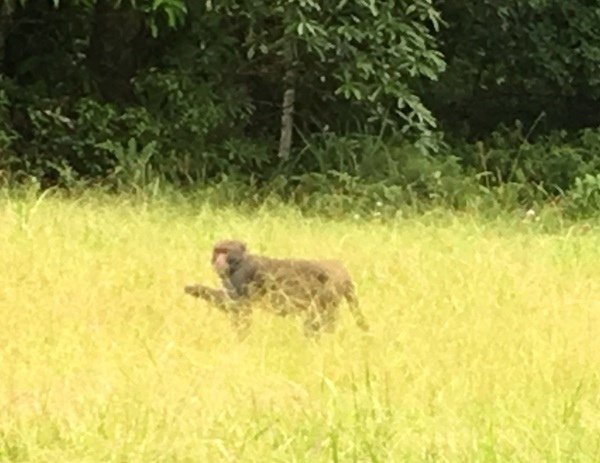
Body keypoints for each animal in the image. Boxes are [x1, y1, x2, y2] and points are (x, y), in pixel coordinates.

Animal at [184, 241, 370, 338]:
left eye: (226, 251)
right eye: (218, 251)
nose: (219, 260)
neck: (240, 261)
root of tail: (343, 273)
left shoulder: (242, 274)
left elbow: (239, 308)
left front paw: (197, 289)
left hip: (327, 293)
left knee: (313, 322)